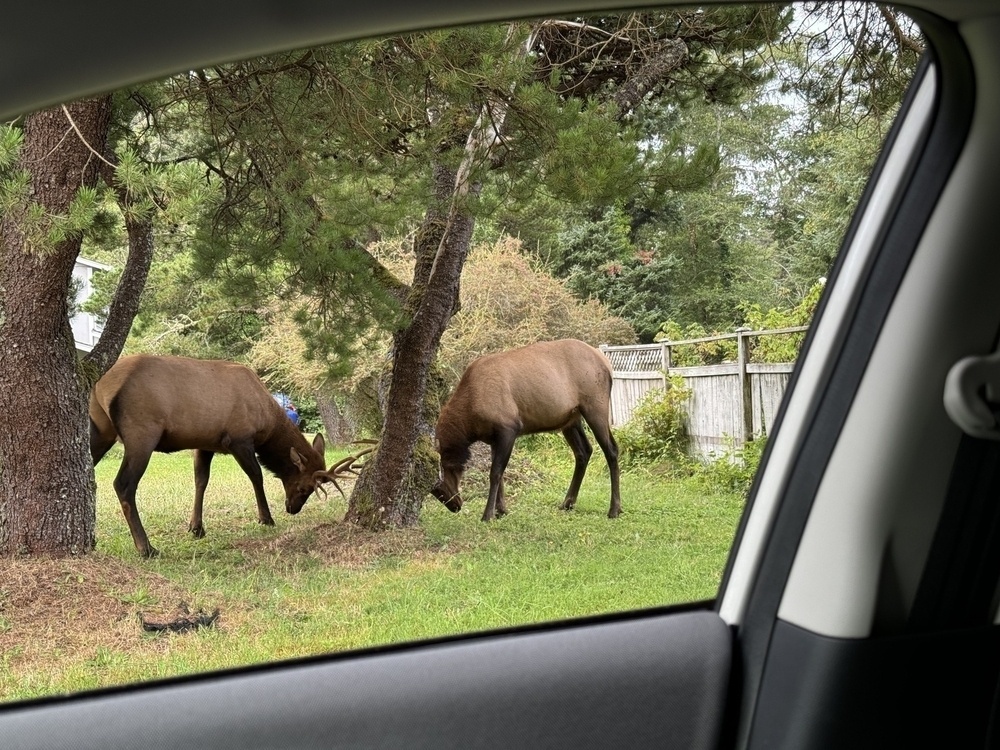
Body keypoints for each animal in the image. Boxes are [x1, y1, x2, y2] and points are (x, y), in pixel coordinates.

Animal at [89, 356, 334, 560]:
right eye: (304, 487)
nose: (292, 509)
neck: (268, 425)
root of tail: (100, 384)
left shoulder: (204, 444)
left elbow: (201, 480)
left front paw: (196, 527)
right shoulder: (239, 439)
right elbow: (256, 476)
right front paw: (266, 518)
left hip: (102, 430)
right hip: (142, 432)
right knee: (123, 483)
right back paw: (146, 548)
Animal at [432, 340, 620, 524]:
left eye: (438, 486)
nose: (455, 506)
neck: (470, 424)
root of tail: (607, 364)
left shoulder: (509, 428)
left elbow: (495, 473)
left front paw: (488, 515)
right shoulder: (494, 438)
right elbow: (499, 474)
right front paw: (501, 510)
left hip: (595, 406)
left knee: (611, 449)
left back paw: (614, 509)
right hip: (571, 419)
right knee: (584, 451)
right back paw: (568, 502)